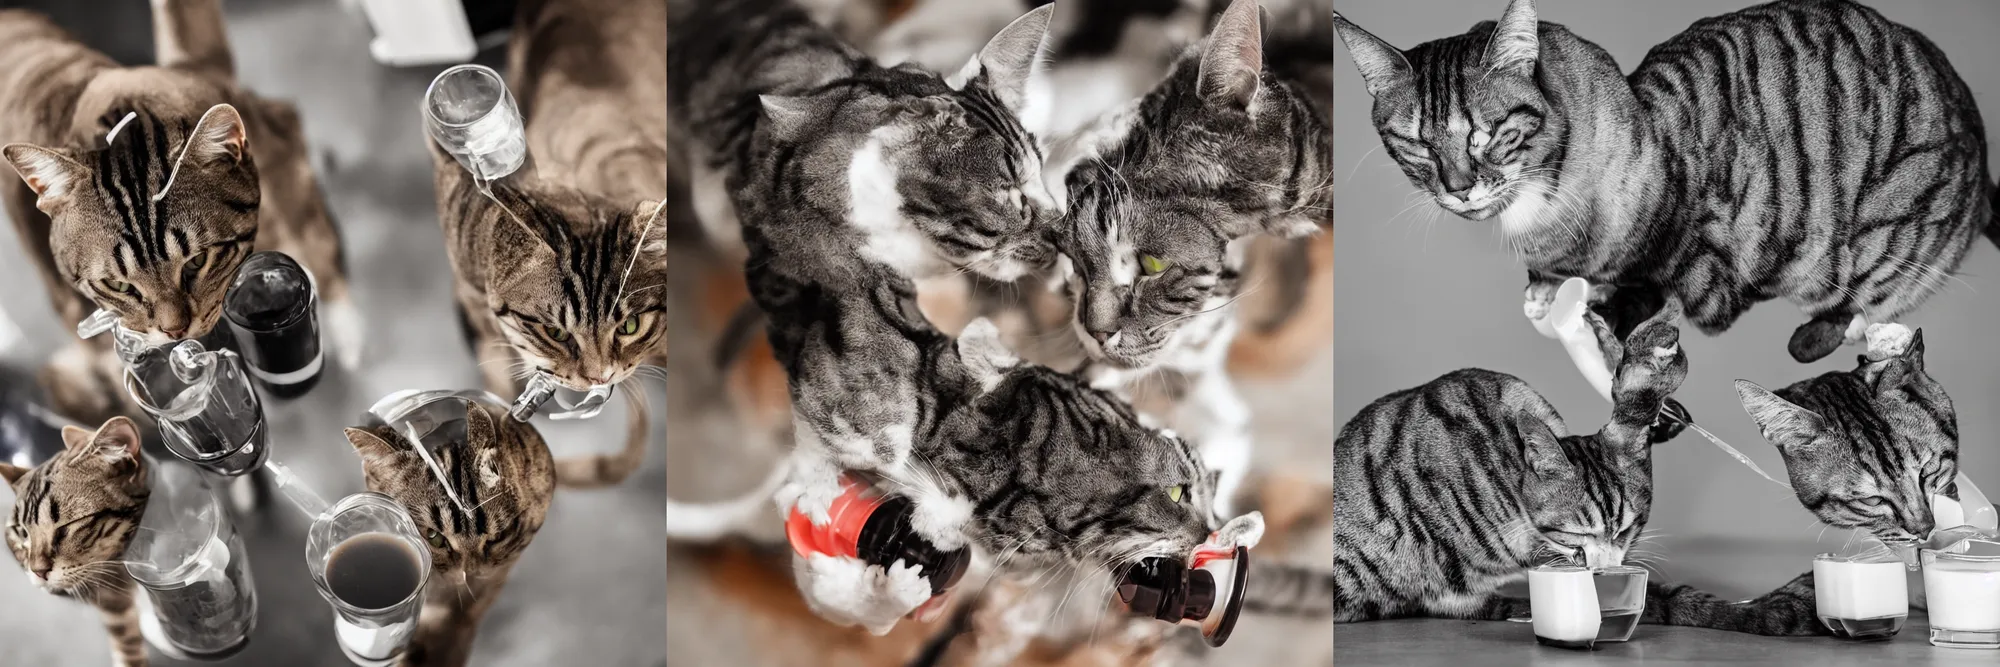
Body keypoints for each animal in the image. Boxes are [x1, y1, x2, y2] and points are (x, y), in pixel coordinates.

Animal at [1336, 0, 1992, 361]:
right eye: (1416, 143)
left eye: (1488, 132)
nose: (1458, 187)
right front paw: (1547, 295)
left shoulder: (1703, 255)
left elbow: (1659, 291)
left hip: (1884, 240)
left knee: (1857, 307)